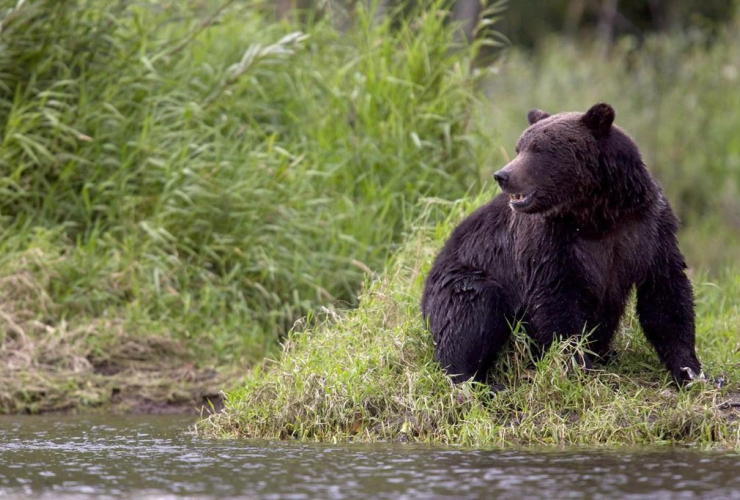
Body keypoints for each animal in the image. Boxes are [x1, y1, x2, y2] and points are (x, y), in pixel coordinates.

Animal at [422, 103, 700, 384]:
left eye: (538, 149)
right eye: (519, 147)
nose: (502, 175)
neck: (596, 214)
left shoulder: (647, 229)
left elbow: (665, 293)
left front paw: (689, 370)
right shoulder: (549, 241)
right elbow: (556, 302)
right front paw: (577, 366)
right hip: (462, 276)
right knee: (470, 311)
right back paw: (476, 379)